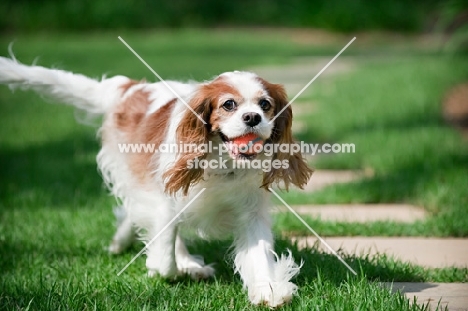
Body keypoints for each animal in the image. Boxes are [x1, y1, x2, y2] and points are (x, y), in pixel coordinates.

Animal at [0, 55, 314, 308]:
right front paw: (170, 266)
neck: (222, 163)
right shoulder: (163, 198)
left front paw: (268, 289)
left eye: (265, 104)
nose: (253, 117)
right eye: (229, 104)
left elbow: (258, 254)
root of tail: (130, 88)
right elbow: (165, 256)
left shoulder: (250, 212)